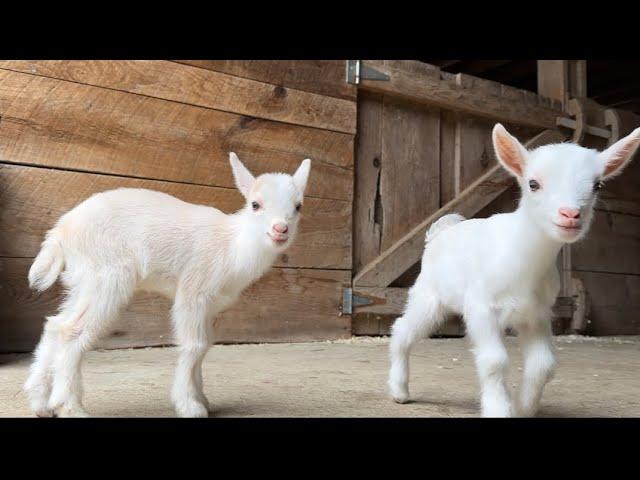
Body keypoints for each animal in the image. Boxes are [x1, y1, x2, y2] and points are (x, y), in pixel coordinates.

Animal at [26, 154, 312, 416]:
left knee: (56, 324)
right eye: (255, 204)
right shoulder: (193, 290)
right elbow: (194, 345)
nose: (280, 229)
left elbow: (205, 344)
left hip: (83, 280)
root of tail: (61, 231)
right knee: (72, 330)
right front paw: (190, 406)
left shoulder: (209, 305)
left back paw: (40, 401)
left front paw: (202, 397)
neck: (233, 244)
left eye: (298, 206)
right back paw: (68, 406)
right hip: (106, 276)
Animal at [388, 123, 636, 416]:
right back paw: (399, 390)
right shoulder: (481, 306)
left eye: (598, 185)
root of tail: (442, 230)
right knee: (402, 329)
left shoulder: (536, 314)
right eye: (533, 184)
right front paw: (499, 408)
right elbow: (495, 360)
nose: (570, 215)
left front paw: (523, 407)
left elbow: (543, 364)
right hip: (429, 296)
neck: (525, 264)